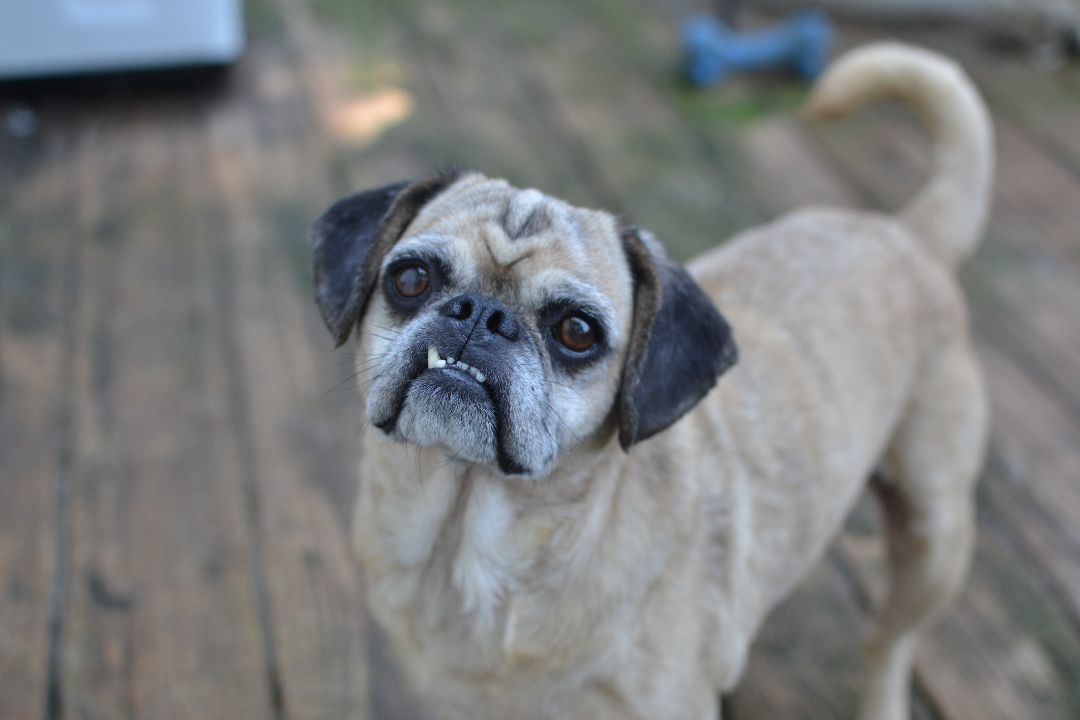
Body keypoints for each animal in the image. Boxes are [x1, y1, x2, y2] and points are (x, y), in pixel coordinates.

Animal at [308, 45, 989, 720]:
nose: (482, 314)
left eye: (576, 331)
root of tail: (909, 231)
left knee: (888, 644)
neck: (463, 543)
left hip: (934, 540)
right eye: (412, 279)